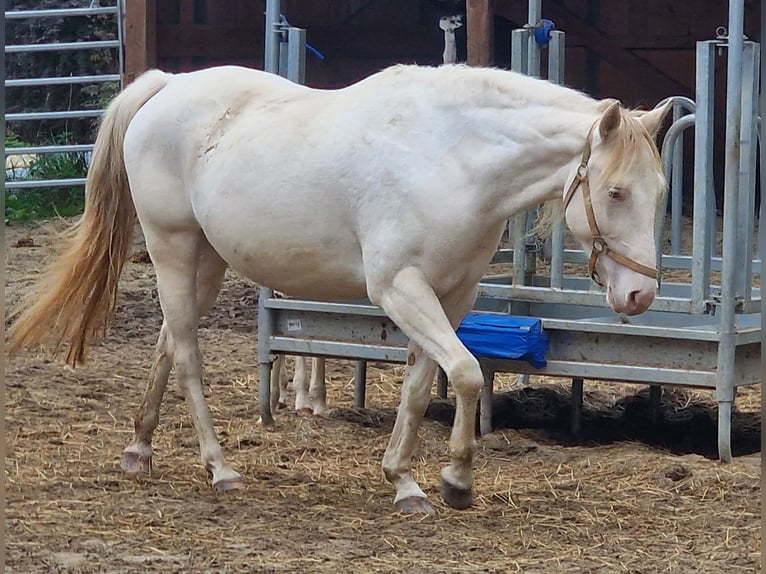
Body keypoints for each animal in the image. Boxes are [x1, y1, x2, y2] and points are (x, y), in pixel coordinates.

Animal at [7, 63, 670, 515]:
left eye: (661, 191)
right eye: (616, 192)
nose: (640, 295)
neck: (451, 156)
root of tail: (168, 88)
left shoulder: (450, 296)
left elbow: (420, 383)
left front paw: (404, 481)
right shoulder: (398, 288)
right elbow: (464, 374)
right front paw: (456, 480)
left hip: (205, 265)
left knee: (168, 342)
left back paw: (139, 452)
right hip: (172, 248)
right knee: (189, 354)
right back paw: (219, 468)